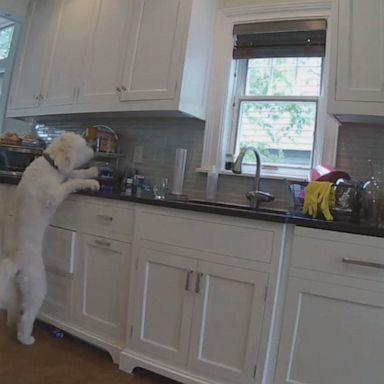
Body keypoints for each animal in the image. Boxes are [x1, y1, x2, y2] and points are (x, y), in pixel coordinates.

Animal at [0, 133, 100, 344]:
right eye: (84, 145)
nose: (94, 150)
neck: (50, 163)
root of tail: (15, 261)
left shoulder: (65, 173)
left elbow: (75, 174)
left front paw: (93, 173)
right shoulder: (54, 195)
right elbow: (70, 183)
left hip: (19, 287)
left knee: (15, 306)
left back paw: (12, 322)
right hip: (37, 286)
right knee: (28, 315)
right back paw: (26, 338)